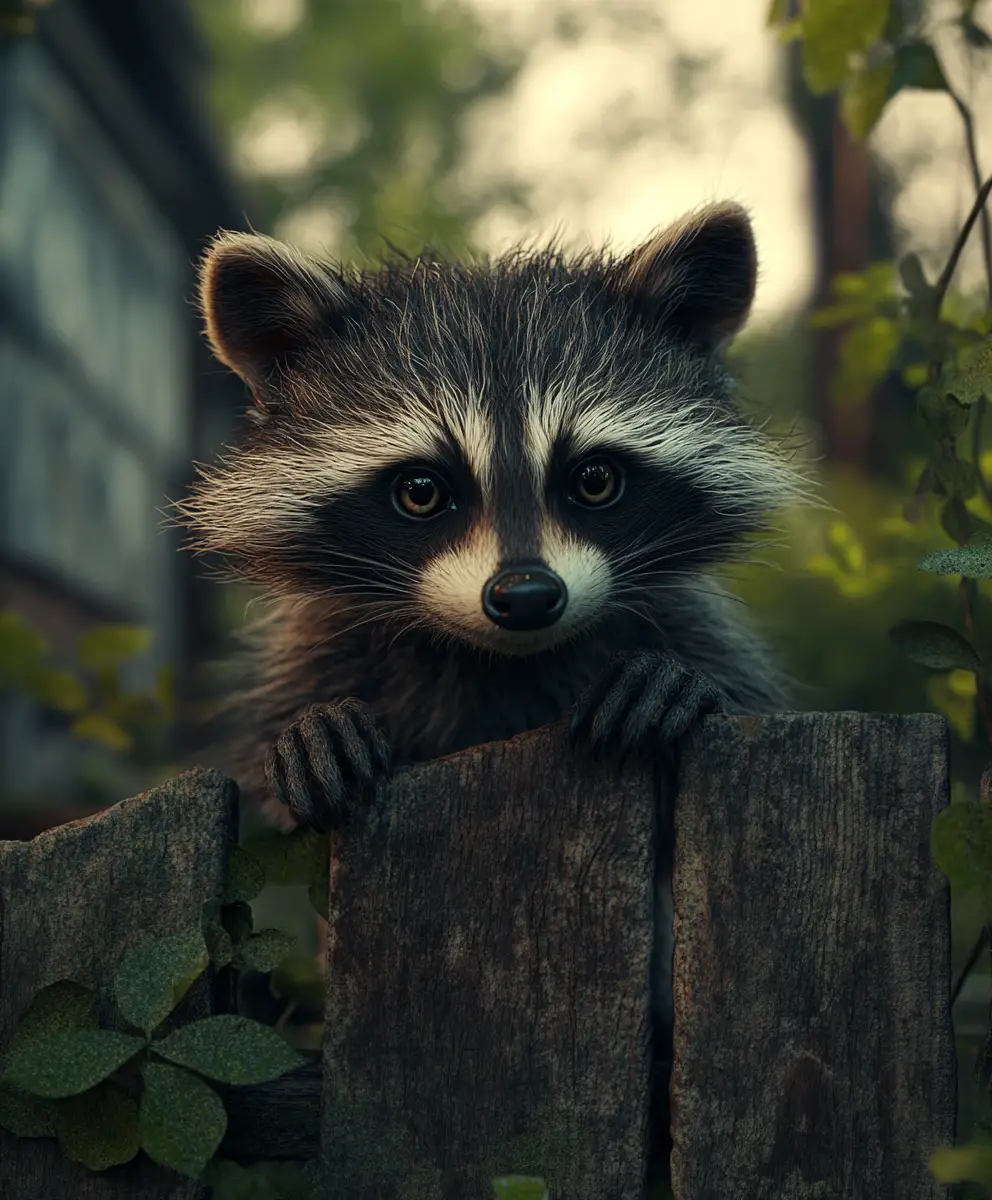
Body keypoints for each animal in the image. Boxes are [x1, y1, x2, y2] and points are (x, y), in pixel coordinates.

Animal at [180, 202, 807, 1182]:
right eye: (421, 491)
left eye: (595, 479)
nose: (525, 596)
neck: (499, 656)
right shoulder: (324, 648)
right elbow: (277, 821)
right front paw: (307, 738)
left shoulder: (688, 623)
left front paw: (676, 689)